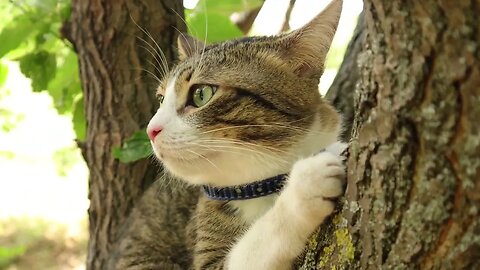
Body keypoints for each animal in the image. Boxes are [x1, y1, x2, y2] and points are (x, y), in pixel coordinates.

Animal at [109, 1, 344, 268]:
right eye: (161, 99)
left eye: (201, 94)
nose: (151, 130)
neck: (260, 186)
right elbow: (250, 249)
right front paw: (303, 186)